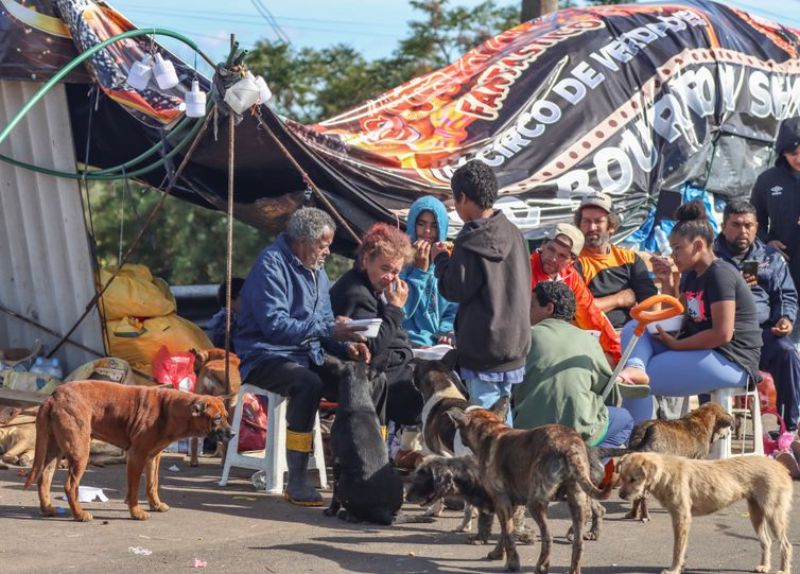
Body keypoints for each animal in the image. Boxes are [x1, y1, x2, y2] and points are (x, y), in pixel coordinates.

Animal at [25, 380, 230, 524]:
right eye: (217, 418)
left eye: (227, 417)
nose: (233, 433)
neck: (170, 410)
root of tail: (54, 396)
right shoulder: (137, 456)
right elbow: (134, 488)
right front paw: (136, 512)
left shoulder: (153, 457)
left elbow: (152, 484)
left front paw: (155, 504)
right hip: (80, 451)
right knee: (70, 485)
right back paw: (79, 514)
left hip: (54, 450)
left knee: (44, 478)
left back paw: (48, 509)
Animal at [324, 364, 404, 528]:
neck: (358, 401)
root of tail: (380, 509)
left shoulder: (336, 461)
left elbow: (334, 495)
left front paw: (331, 510)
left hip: (343, 480)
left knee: (354, 513)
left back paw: (346, 515)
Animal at [450, 400, 612, 574]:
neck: (492, 429)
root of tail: (569, 445)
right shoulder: (512, 505)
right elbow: (505, 533)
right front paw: (498, 553)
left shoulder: (501, 502)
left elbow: (507, 535)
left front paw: (512, 563)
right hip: (577, 501)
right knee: (578, 542)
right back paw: (574, 568)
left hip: (535, 503)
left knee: (548, 537)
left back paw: (541, 566)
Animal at [616, 454, 792, 574]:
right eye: (622, 477)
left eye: (633, 479)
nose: (621, 495)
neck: (665, 473)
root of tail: (781, 467)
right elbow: (681, 547)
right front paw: (680, 566)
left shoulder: (682, 518)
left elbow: (677, 549)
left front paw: (674, 569)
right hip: (756, 514)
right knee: (766, 541)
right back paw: (765, 566)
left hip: (773, 514)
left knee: (786, 545)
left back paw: (783, 570)